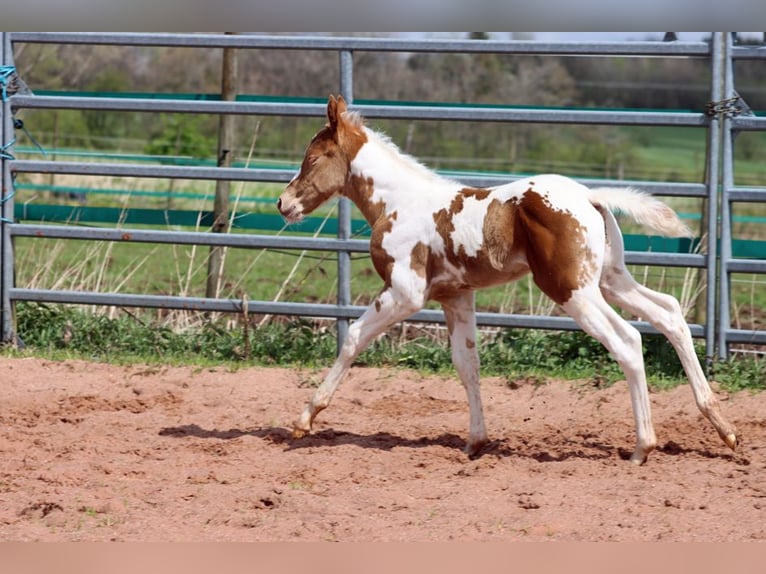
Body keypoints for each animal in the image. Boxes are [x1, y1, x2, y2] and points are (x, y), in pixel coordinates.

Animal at [280, 93, 740, 464]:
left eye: (314, 158)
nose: (285, 203)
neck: (399, 203)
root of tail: (590, 196)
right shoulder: (456, 297)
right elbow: (467, 364)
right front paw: (475, 442)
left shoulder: (404, 294)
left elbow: (353, 337)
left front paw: (304, 419)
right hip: (610, 279)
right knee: (670, 314)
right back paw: (723, 427)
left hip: (571, 290)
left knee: (627, 340)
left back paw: (643, 446)